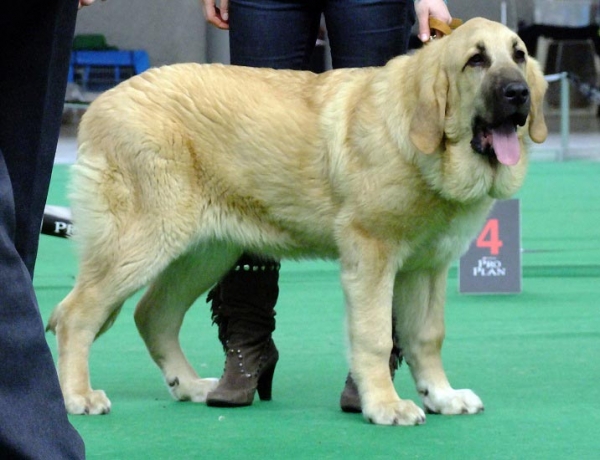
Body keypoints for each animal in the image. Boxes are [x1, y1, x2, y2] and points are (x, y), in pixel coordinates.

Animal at [48, 18, 548, 424]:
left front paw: (441, 396)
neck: (420, 136)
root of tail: (99, 106)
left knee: (153, 314)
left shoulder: (426, 268)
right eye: (476, 60)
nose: (518, 94)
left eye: (519, 55)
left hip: (205, 253)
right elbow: (375, 337)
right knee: (74, 315)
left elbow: (427, 337)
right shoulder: (371, 257)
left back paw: (188, 386)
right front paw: (385, 405)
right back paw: (78, 397)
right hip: (141, 243)